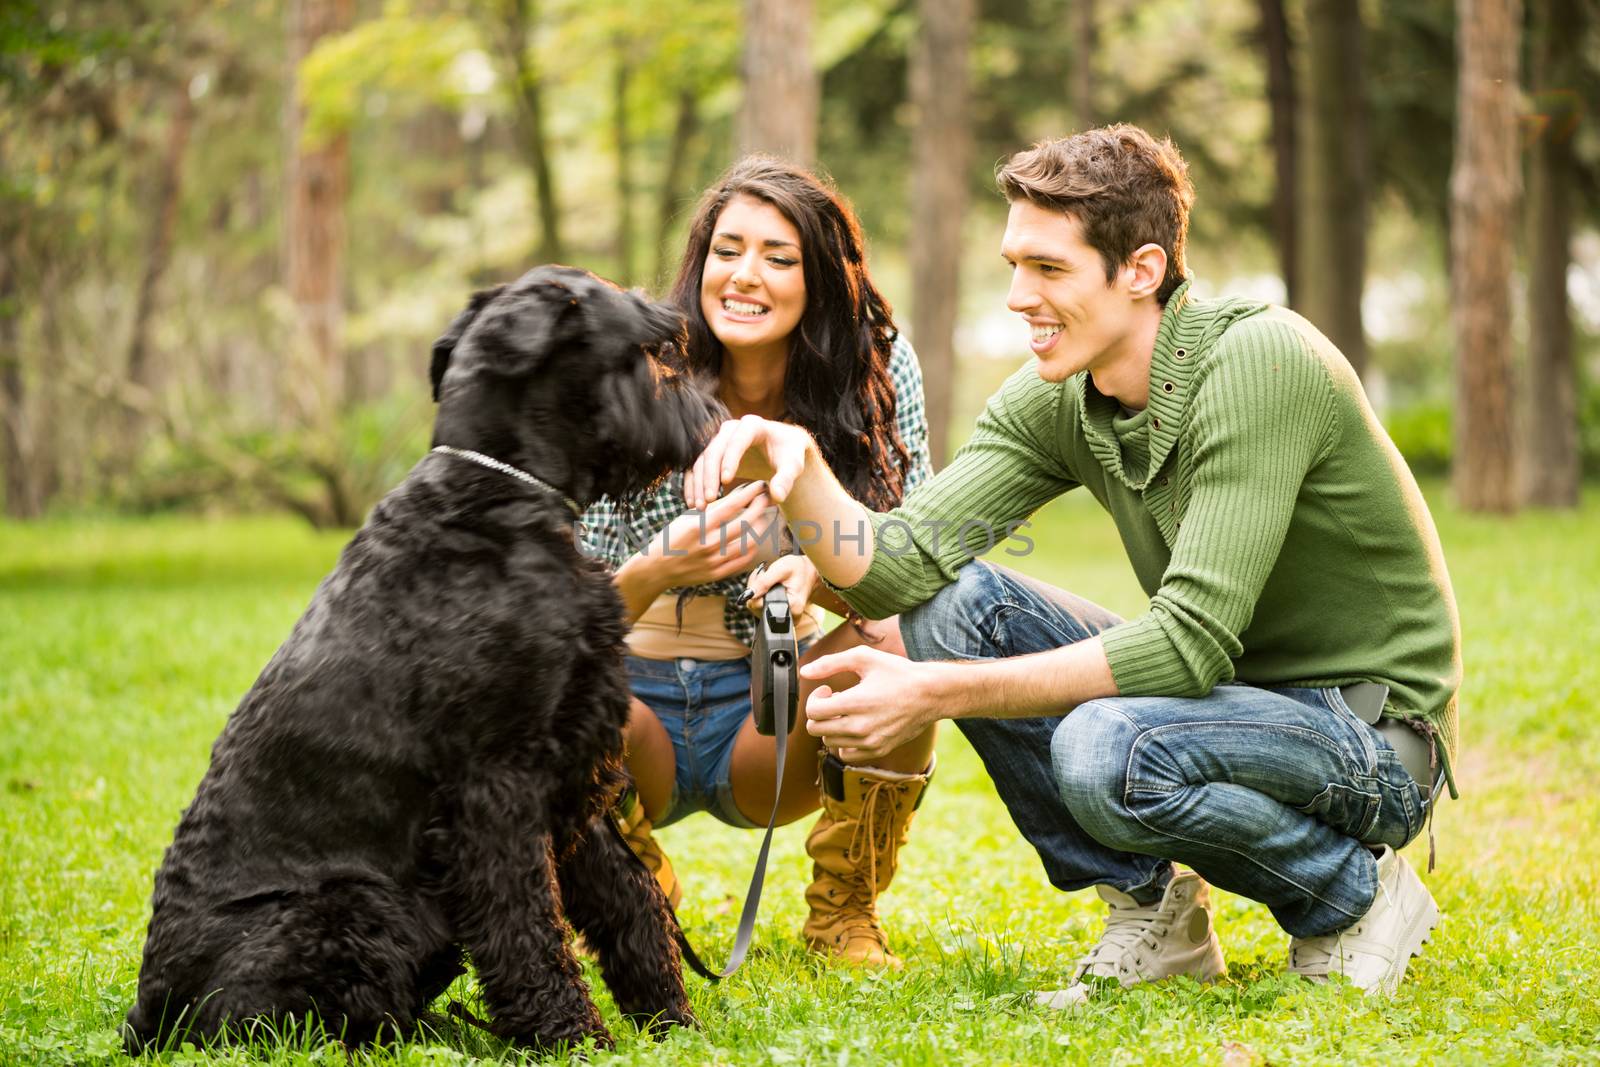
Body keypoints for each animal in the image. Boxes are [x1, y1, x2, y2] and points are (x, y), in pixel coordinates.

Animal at [123, 265, 720, 1049]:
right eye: (653, 348)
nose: (711, 415)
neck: (499, 496)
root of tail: (147, 1016)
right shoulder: (497, 785)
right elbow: (527, 922)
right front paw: (570, 1035)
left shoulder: (573, 766)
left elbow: (629, 900)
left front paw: (671, 1019)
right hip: (358, 906)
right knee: (326, 1023)